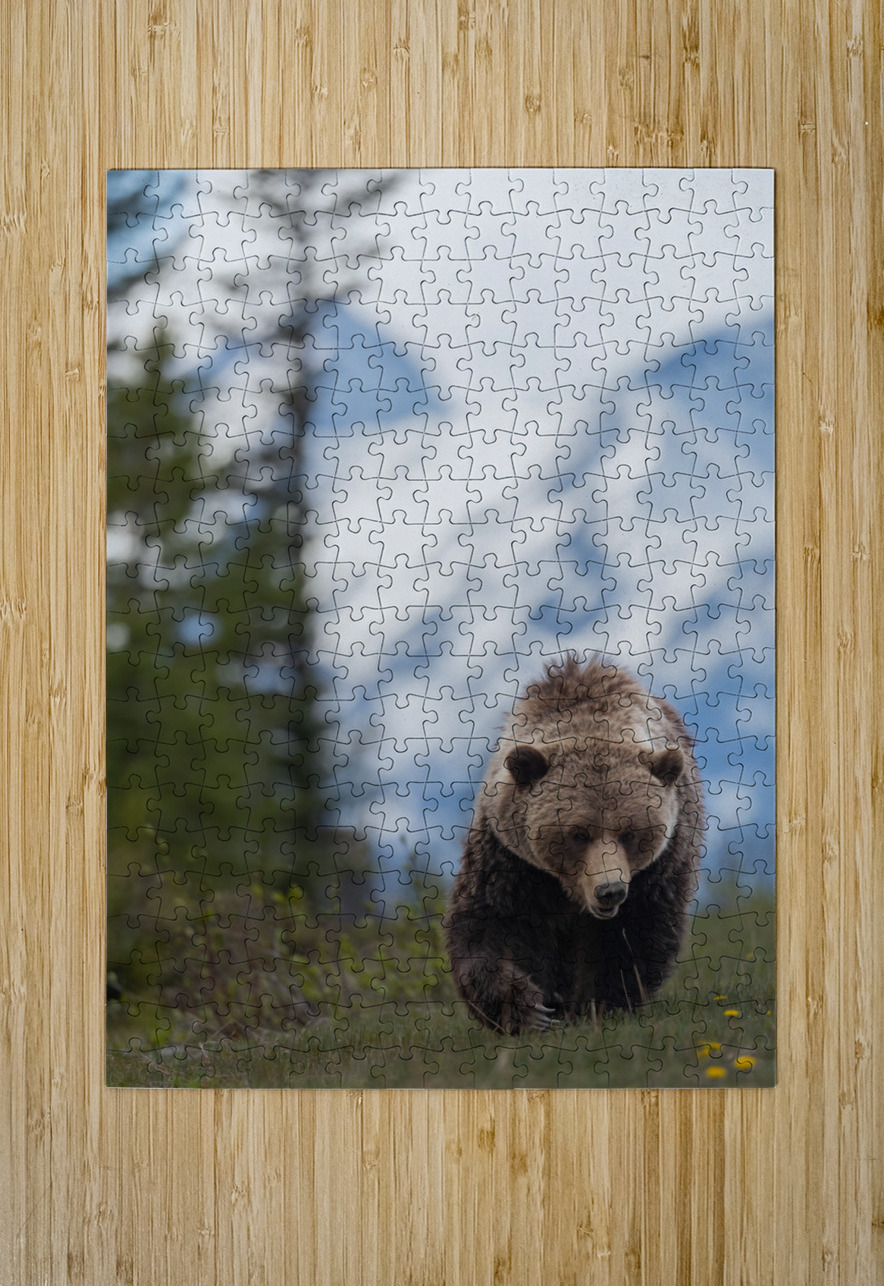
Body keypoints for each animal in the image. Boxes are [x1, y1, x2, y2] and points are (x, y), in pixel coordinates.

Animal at [445, 655, 704, 1034]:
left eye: (630, 833)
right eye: (578, 833)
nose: (610, 890)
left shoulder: (660, 864)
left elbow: (634, 935)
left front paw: (601, 1005)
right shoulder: (510, 858)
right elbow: (489, 925)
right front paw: (528, 1010)